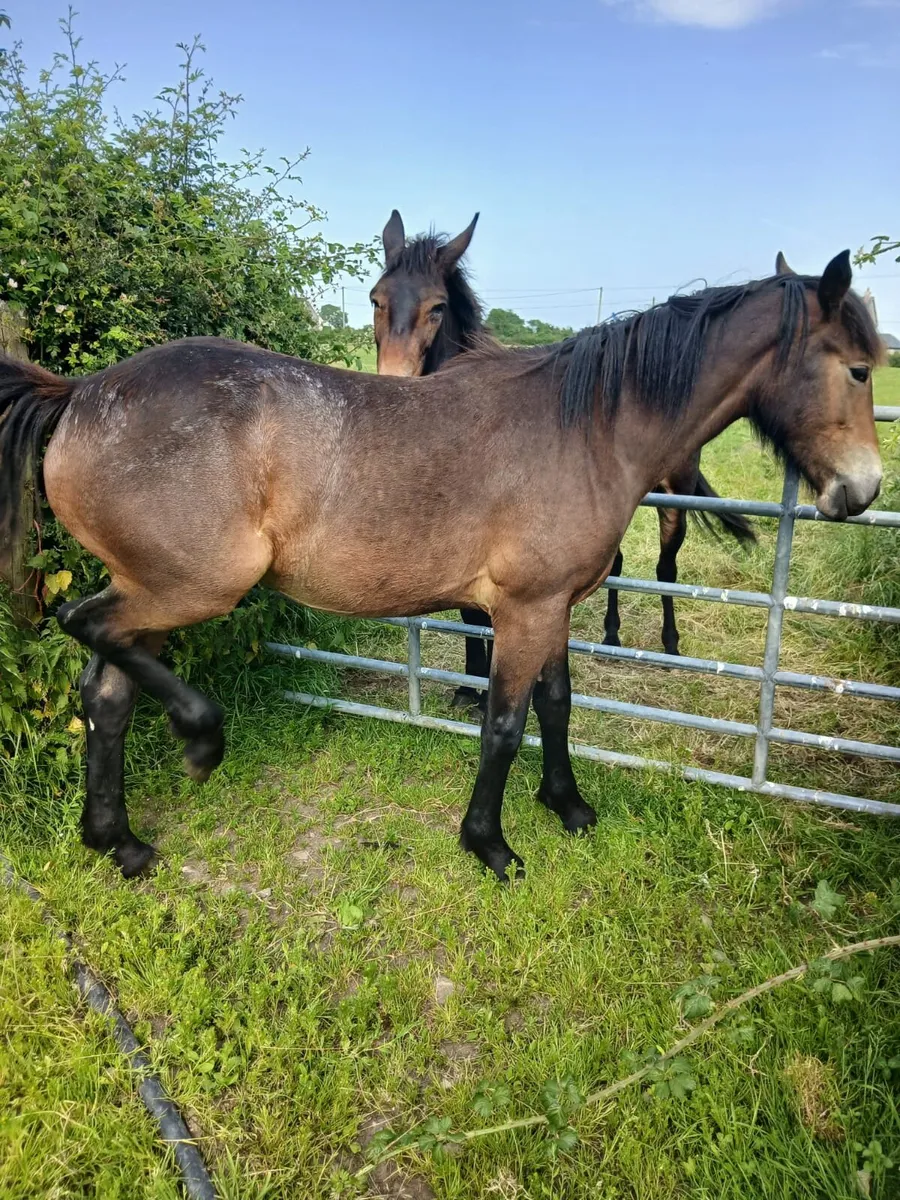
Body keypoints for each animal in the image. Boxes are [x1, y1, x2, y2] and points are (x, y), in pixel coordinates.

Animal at [369, 211, 757, 719]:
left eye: (437, 307)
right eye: (376, 300)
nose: (393, 382)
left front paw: (486, 688)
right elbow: (471, 611)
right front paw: (469, 686)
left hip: (674, 494)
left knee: (666, 567)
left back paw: (669, 646)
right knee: (618, 562)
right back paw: (611, 636)